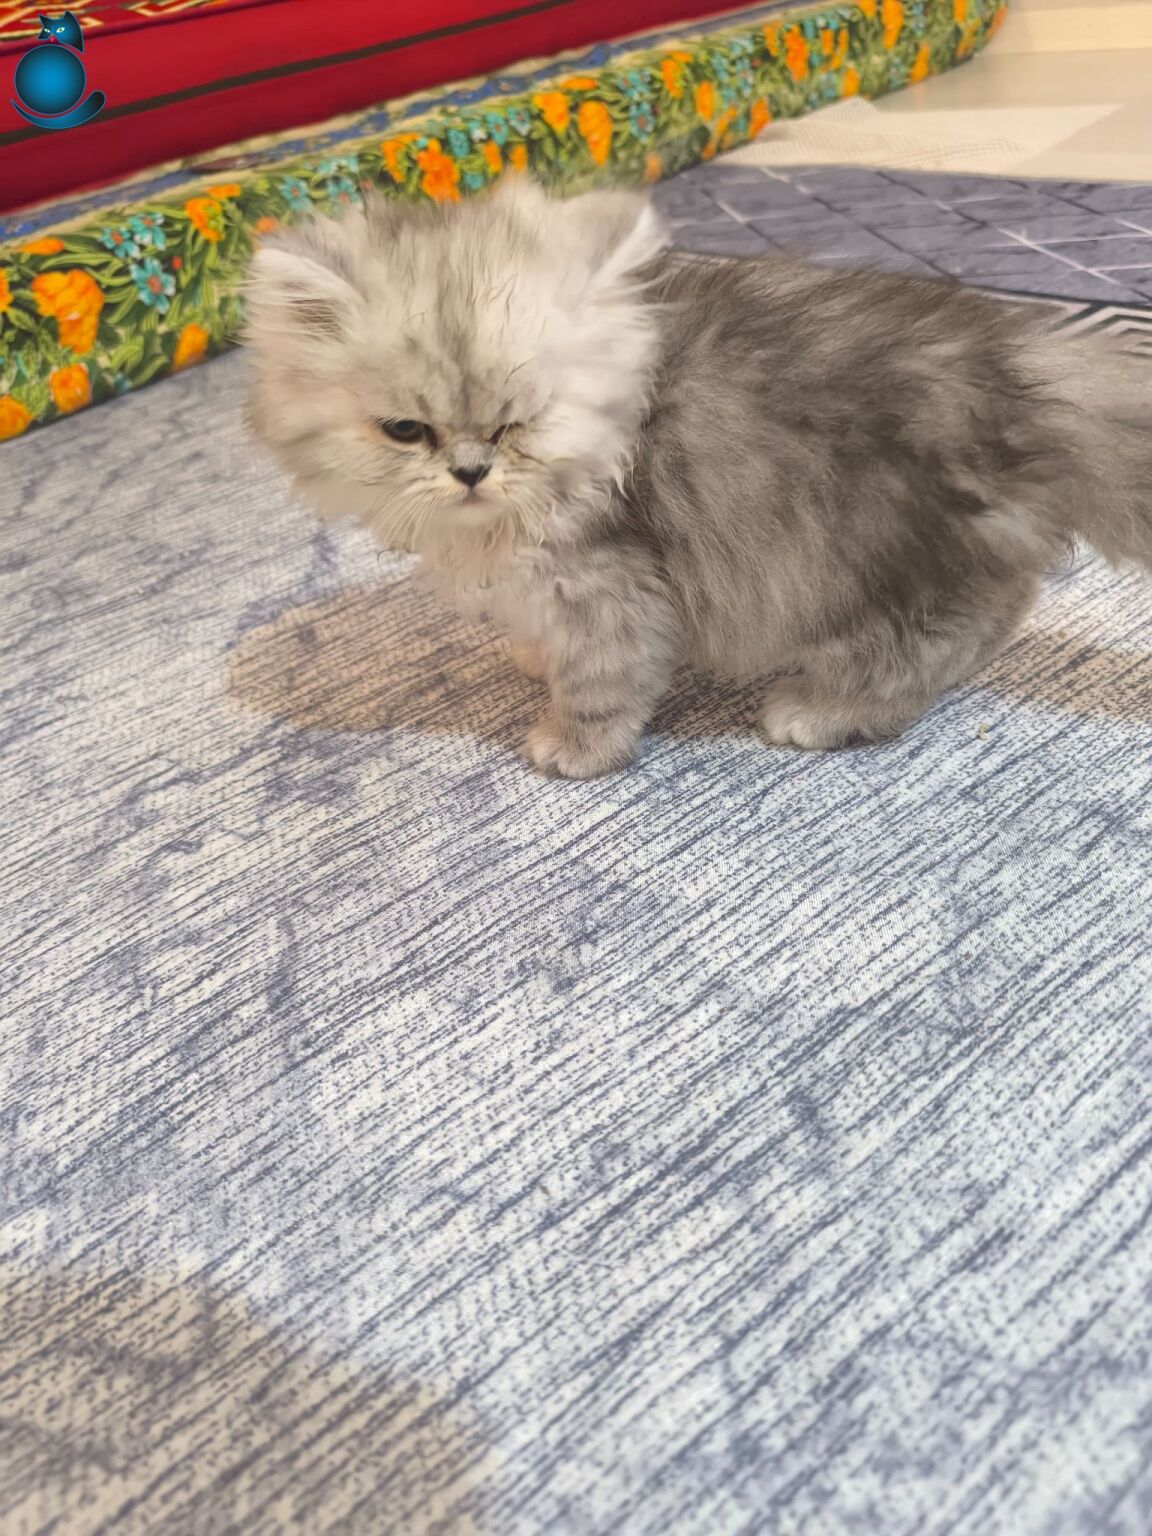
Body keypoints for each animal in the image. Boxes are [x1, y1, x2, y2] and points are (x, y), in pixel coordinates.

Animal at [245, 178, 1152, 778]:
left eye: (520, 423)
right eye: (407, 431)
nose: (470, 470)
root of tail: (1020, 373)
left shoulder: (611, 585)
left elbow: (601, 686)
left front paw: (572, 749)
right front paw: (532, 656)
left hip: (877, 562)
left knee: (934, 643)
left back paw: (816, 711)